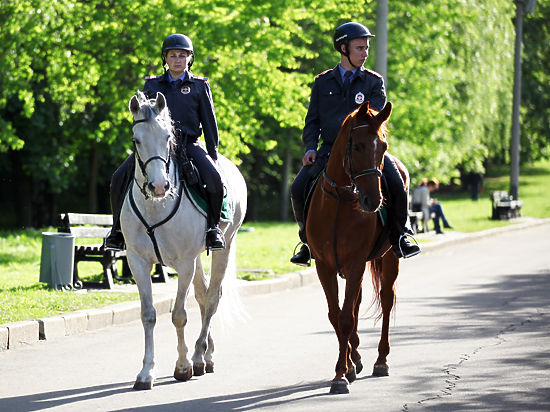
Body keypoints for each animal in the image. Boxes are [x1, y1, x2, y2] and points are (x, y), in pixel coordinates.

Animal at [122, 91, 249, 390]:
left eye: (168, 136)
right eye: (136, 140)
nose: (159, 186)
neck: (155, 206)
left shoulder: (184, 263)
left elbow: (179, 315)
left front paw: (182, 366)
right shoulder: (137, 262)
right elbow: (148, 315)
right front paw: (146, 372)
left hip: (222, 248)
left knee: (212, 297)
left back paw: (200, 357)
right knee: (203, 297)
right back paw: (206, 354)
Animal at [308, 101, 408, 394]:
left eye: (383, 146)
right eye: (358, 146)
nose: (373, 200)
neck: (339, 202)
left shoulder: (354, 264)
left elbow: (346, 317)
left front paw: (340, 376)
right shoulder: (325, 266)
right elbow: (337, 315)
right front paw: (348, 366)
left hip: (389, 258)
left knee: (386, 299)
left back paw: (381, 360)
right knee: (355, 304)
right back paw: (357, 356)